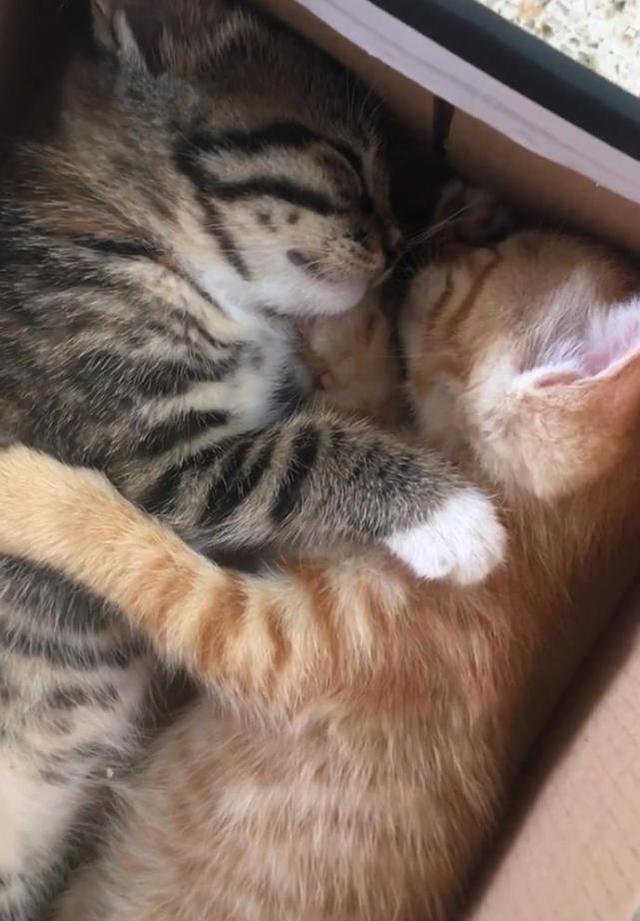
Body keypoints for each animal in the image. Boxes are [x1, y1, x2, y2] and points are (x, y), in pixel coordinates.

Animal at [0, 1, 507, 915]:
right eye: (345, 163)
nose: (392, 243)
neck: (129, 234)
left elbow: (363, 389)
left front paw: (461, 225)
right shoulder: (152, 458)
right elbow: (306, 449)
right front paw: (454, 517)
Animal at [0, 227, 639, 920]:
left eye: (476, 267)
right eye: (490, 248)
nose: (437, 256)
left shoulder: (269, 643)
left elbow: (153, 564)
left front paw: (33, 492)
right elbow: (351, 423)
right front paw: (347, 326)